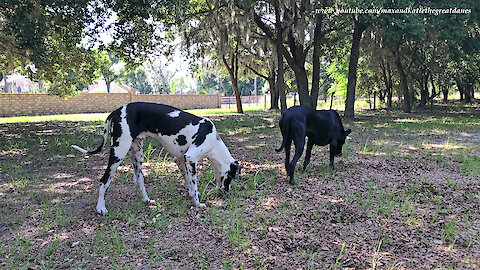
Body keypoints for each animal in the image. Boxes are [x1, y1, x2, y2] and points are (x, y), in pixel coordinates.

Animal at [71, 102, 240, 215]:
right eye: (232, 177)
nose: (227, 193)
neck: (214, 141)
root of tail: (116, 111)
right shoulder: (190, 158)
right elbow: (195, 186)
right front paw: (198, 204)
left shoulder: (181, 160)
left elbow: (189, 183)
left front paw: (191, 197)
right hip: (118, 152)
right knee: (104, 180)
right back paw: (101, 208)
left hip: (137, 153)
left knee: (138, 179)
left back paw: (146, 200)